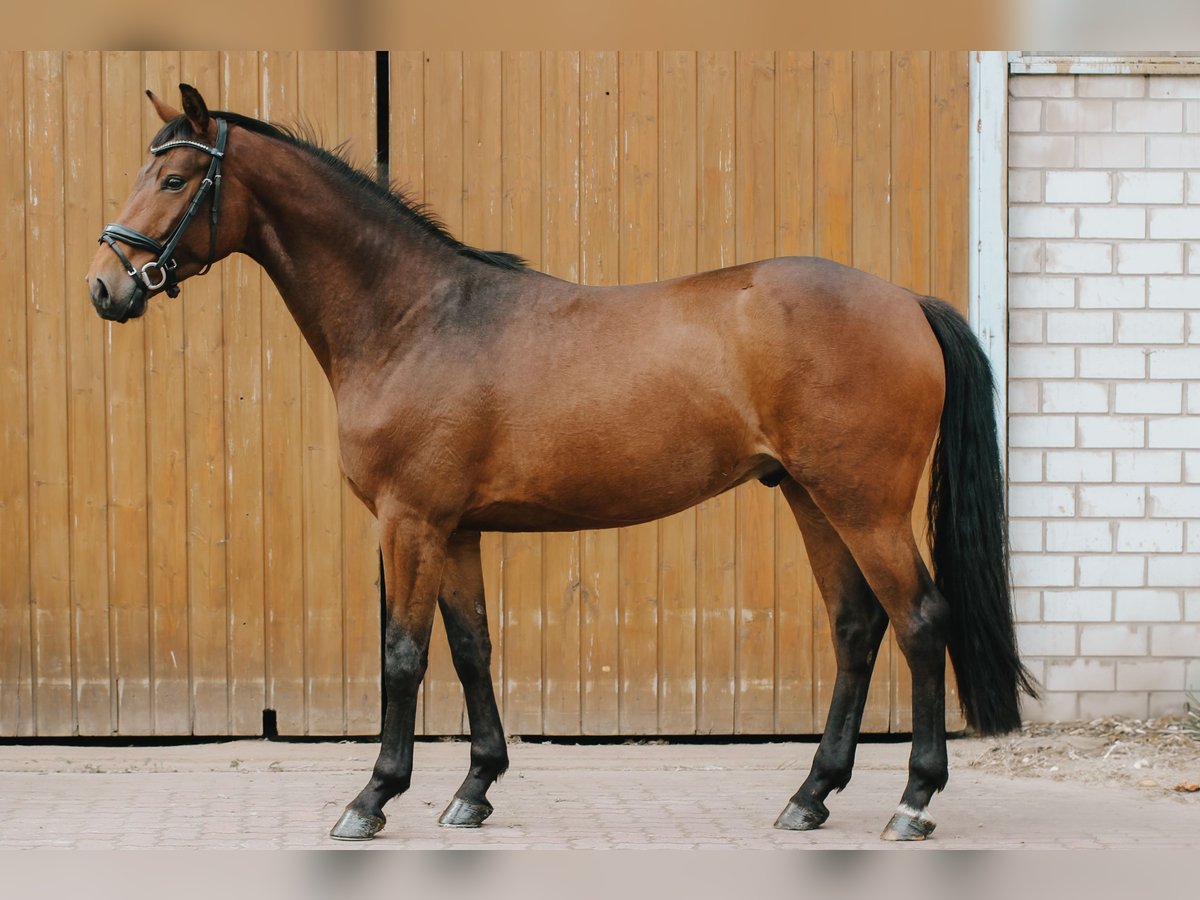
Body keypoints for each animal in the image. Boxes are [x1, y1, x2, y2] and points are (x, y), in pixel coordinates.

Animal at [87, 84, 1041, 844]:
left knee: (919, 621)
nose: (106, 285)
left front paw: (373, 799)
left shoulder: (409, 521)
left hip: (862, 502)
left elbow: (403, 654)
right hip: (811, 497)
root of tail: (906, 300)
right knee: (856, 626)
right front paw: (474, 790)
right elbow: (472, 650)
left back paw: (912, 801)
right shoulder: (456, 529)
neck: (416, 317)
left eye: (174, 179)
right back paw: (811, 795)